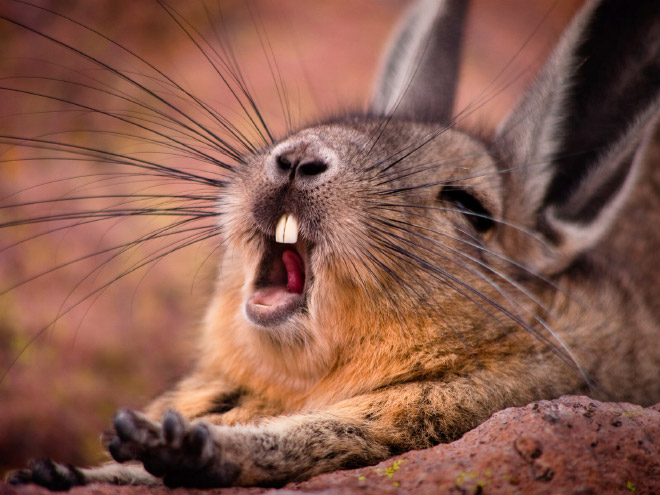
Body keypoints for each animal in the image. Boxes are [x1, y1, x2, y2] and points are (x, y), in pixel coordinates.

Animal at [5, 0, 660, 488]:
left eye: (470, 208)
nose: (298, 159)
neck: (294, 381)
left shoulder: (430, 416)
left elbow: (311, 438)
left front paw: (165, 443)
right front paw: (58, 469)